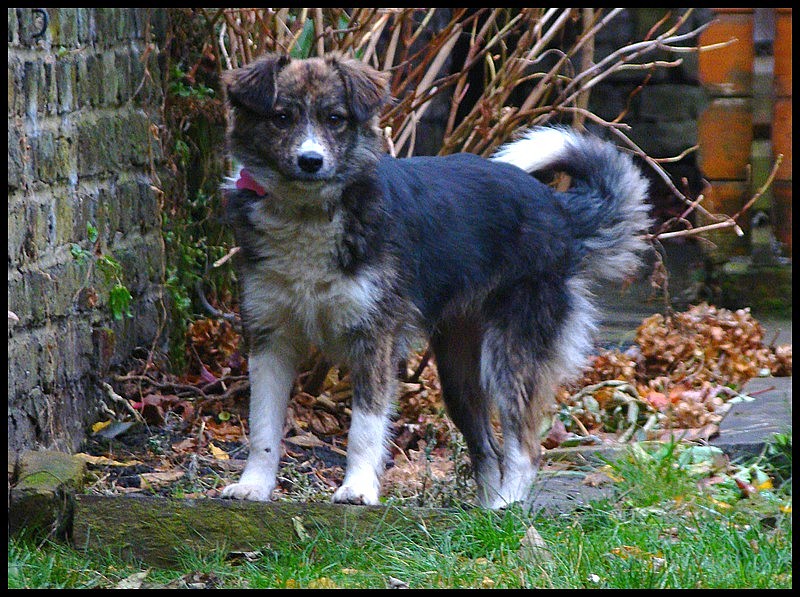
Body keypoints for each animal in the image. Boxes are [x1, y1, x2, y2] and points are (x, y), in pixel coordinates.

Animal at [217, 53, 648, 508]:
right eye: (282, 117)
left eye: (335, 118)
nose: (310, 161)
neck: (308, 213)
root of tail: (558, 208)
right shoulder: (270, 338)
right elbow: (262, 428)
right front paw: (254, 486)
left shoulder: (374, 339)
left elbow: (364, 428)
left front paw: (358, 489)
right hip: (458, 373)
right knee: (487, 450)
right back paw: (487, 512)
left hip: (509, 353)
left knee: (525, 448)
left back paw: (509, 507)